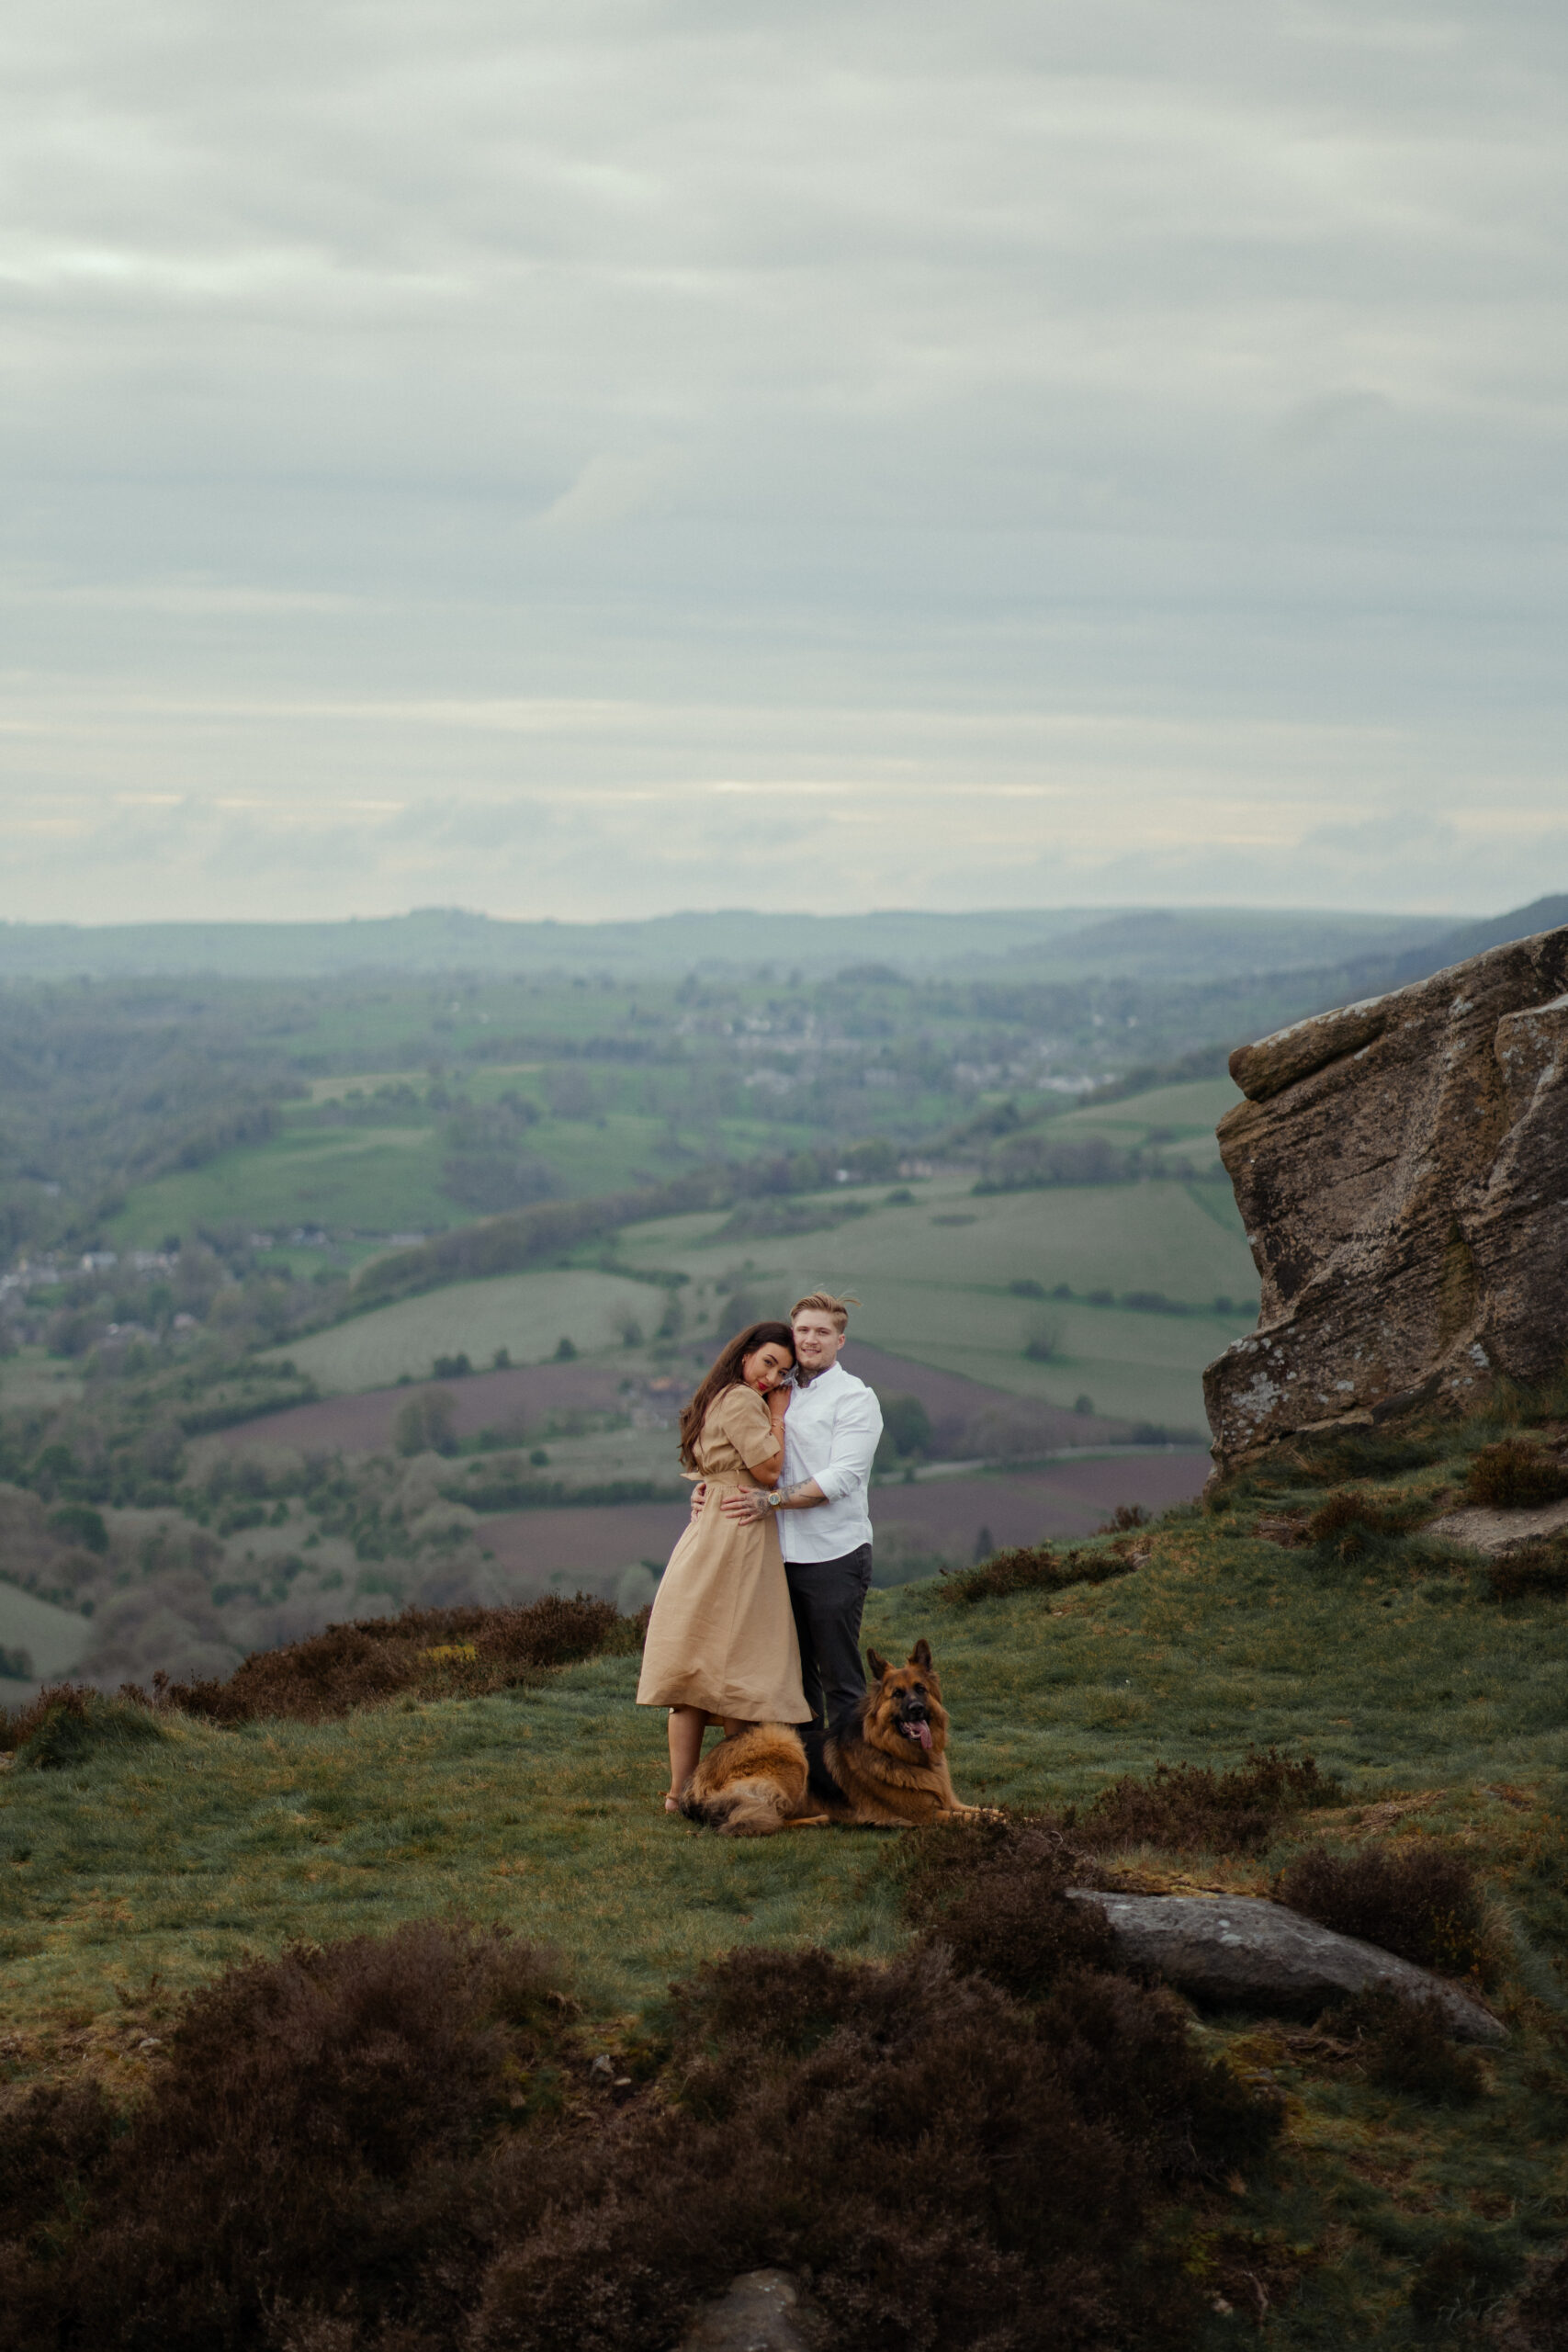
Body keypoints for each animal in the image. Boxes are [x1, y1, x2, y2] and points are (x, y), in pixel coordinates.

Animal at [677, 1636, 982, 1834]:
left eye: (921, 1689)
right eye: (897, 1694)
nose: (917, 1709)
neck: (897, 1753)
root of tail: (695, 1781)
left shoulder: (951, 1803)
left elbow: (983, 1811)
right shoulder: (927, 1815)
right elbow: (973, 1819)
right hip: (787, 1746)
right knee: (763, 1819)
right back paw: (816, 1820)